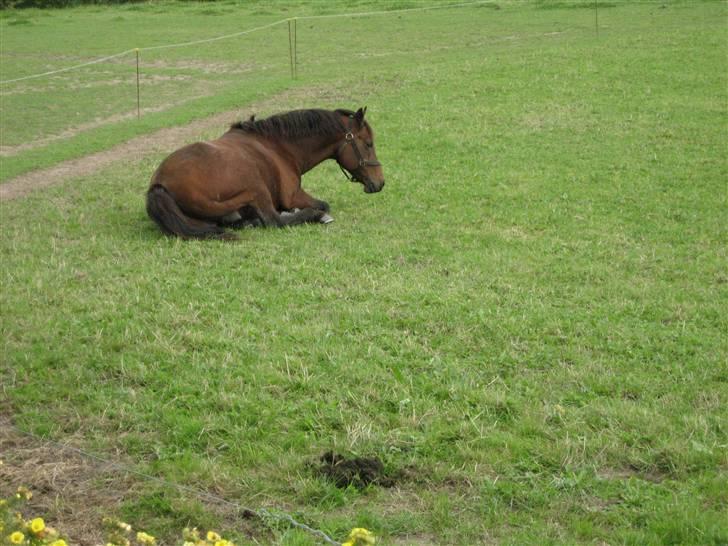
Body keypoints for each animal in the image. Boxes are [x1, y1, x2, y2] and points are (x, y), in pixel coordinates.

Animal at [144, 106, 384, 238]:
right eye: (369, 144)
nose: (380, 183)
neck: (278, 146)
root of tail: (159, 184)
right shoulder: (293, 195)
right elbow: (323, 204)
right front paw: (315, 212)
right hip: (255, 189)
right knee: (272, 220)